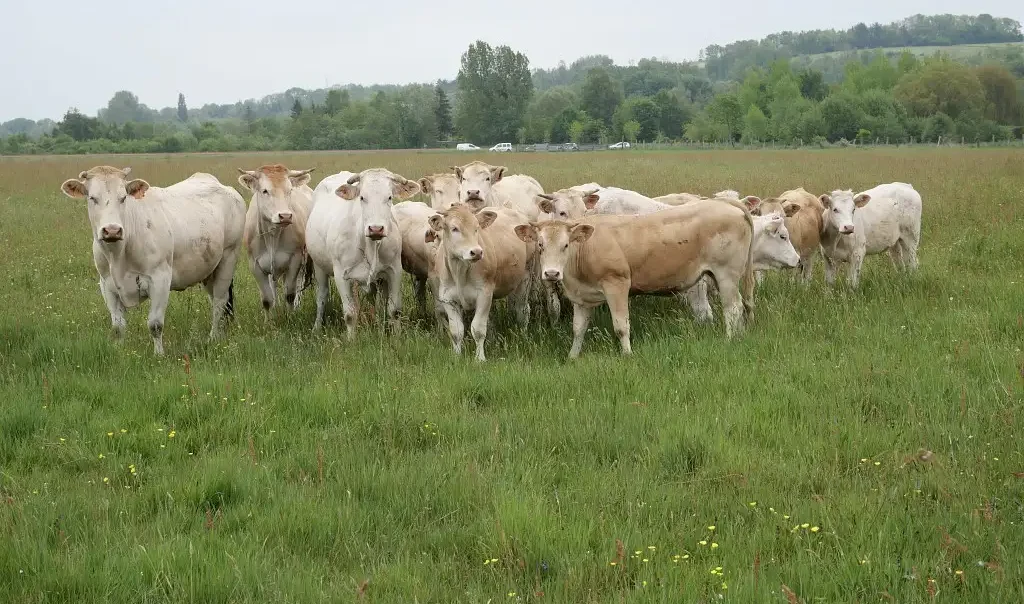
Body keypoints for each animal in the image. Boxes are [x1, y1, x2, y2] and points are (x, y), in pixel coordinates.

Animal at [60, 166, 245, 355]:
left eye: (123, 197)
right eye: (92, 198)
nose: (112, 230)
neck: (118, 255)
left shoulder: (160, 280)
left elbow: (155, 324)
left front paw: (159, 354)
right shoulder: (107, 285)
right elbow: (118, 326)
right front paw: (120, 350)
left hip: (228, 258)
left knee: (219, 302)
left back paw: (213, 336)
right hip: (209, 269)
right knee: (215, 299)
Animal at [238, 165, 315, 316]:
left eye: (289, 190)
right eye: (265, 191)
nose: (285, 216)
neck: (273, 236)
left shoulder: (295, 261)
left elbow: (290, 294)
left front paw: (291, 316)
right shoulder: (255, 265)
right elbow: (267, 299)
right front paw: (270, 320)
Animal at [305, 168, 420, 337]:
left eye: (389, 197)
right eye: (362, 197)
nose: (376, 229)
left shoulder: (394, 271)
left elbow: (394, 310)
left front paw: (396, 337)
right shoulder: (341, 276)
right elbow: (350, 314)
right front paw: (351, 340)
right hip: (319, 267)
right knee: (322, 296)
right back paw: (317, 327)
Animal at [428, 204, 535, 361]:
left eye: (476, 227)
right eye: (454, 228)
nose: (477, 252)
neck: (460, 272)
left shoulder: (484, 294)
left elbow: (478, 329)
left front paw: (480, 358)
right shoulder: (448, 298)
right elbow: (456, 331)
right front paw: (456, 356)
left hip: (525, 277)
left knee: (522, 310)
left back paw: (523, 335)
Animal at [514, 200, 755, 359]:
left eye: (566, 245)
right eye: (540, 245)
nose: (551, 274)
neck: (585, 249)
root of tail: (725, 203)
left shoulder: (617, 284)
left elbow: (621, 325)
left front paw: (627, 354)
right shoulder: (582, 297)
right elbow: (578, 329)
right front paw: (572, 357)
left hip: (726, 274)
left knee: (732, 308)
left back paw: (729, 340)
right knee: (740, 307)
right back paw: (741, 336)